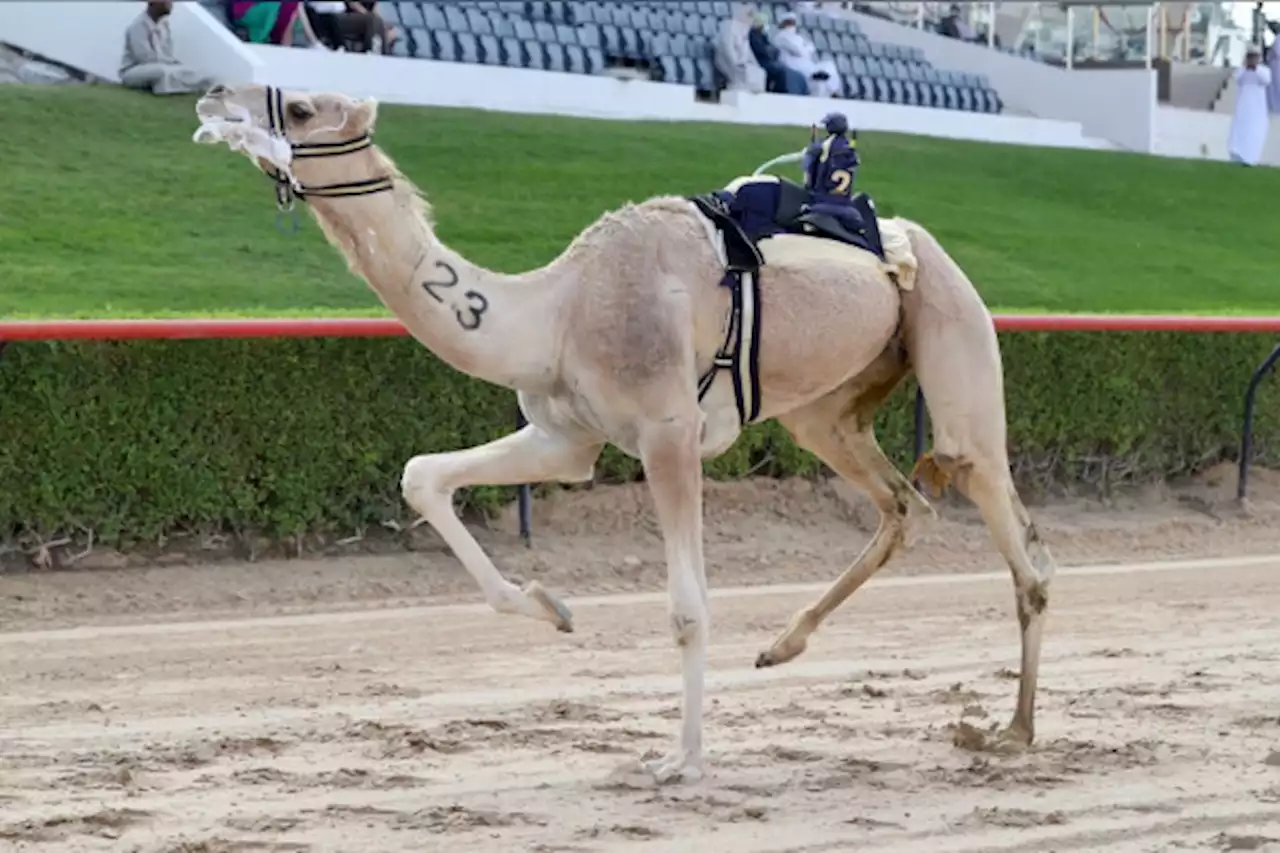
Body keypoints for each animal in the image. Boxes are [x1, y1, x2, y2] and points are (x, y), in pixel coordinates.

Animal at [194, 86, 1054, 783]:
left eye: (302, 107)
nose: (210, 97)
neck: (555, 311)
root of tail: (912, 240)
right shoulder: (565, 436)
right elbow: (421, 474)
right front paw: (552, 606)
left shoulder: (668, 433)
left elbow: (687, 606)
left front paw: (683, 760)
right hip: (826, 409)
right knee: (906, 504)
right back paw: (784, 645)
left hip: (952, 325)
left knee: (1009, 530)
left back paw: (1008, 731)